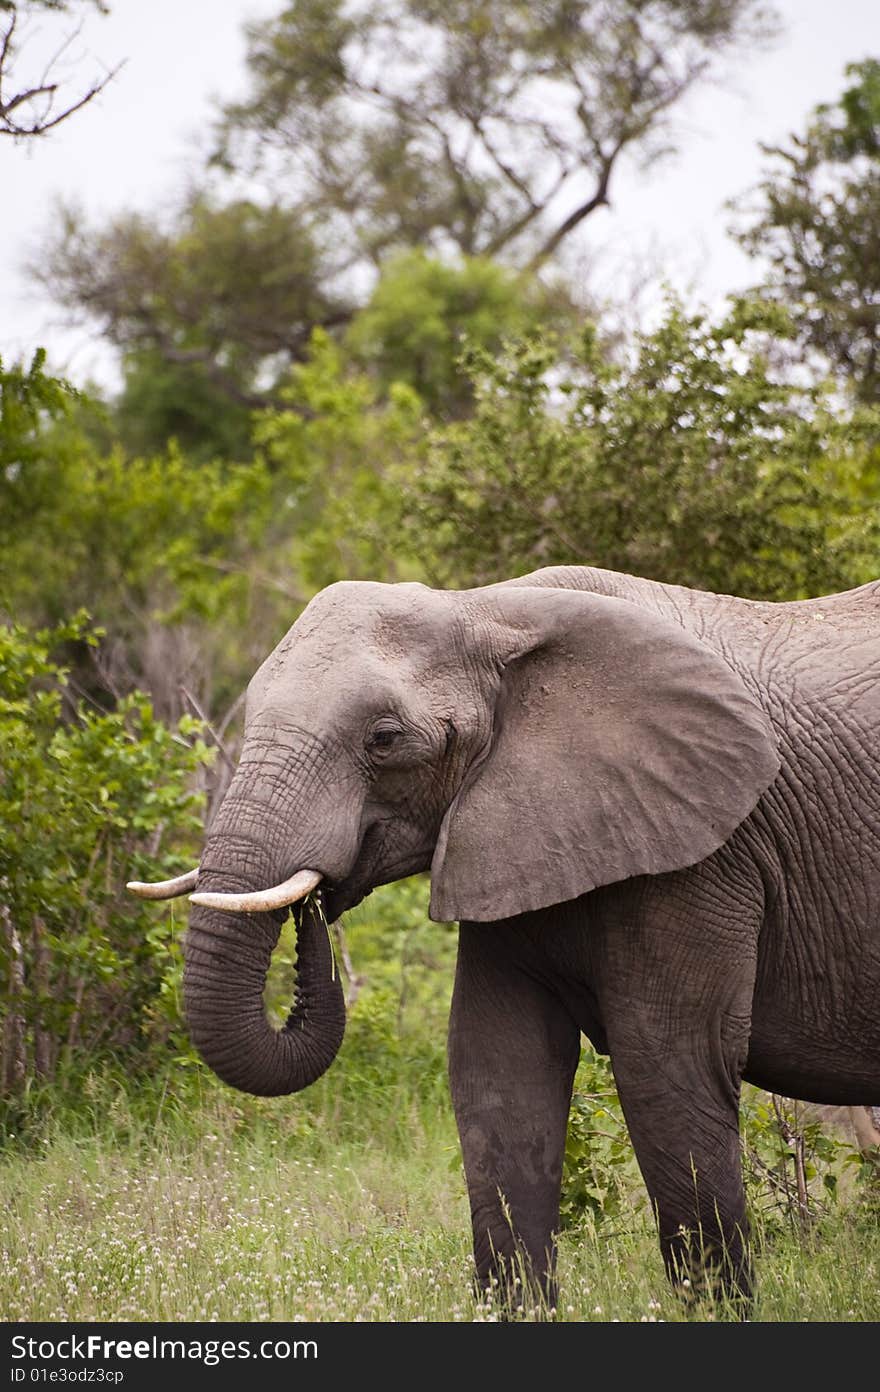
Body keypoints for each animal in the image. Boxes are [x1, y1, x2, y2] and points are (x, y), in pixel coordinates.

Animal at [125, 562, 880, 1302]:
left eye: (384, 739)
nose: (318, 905)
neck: (487, 609)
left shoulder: (706, 853)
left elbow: (668, 1064)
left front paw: (714, 1311)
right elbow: (498, 1067)